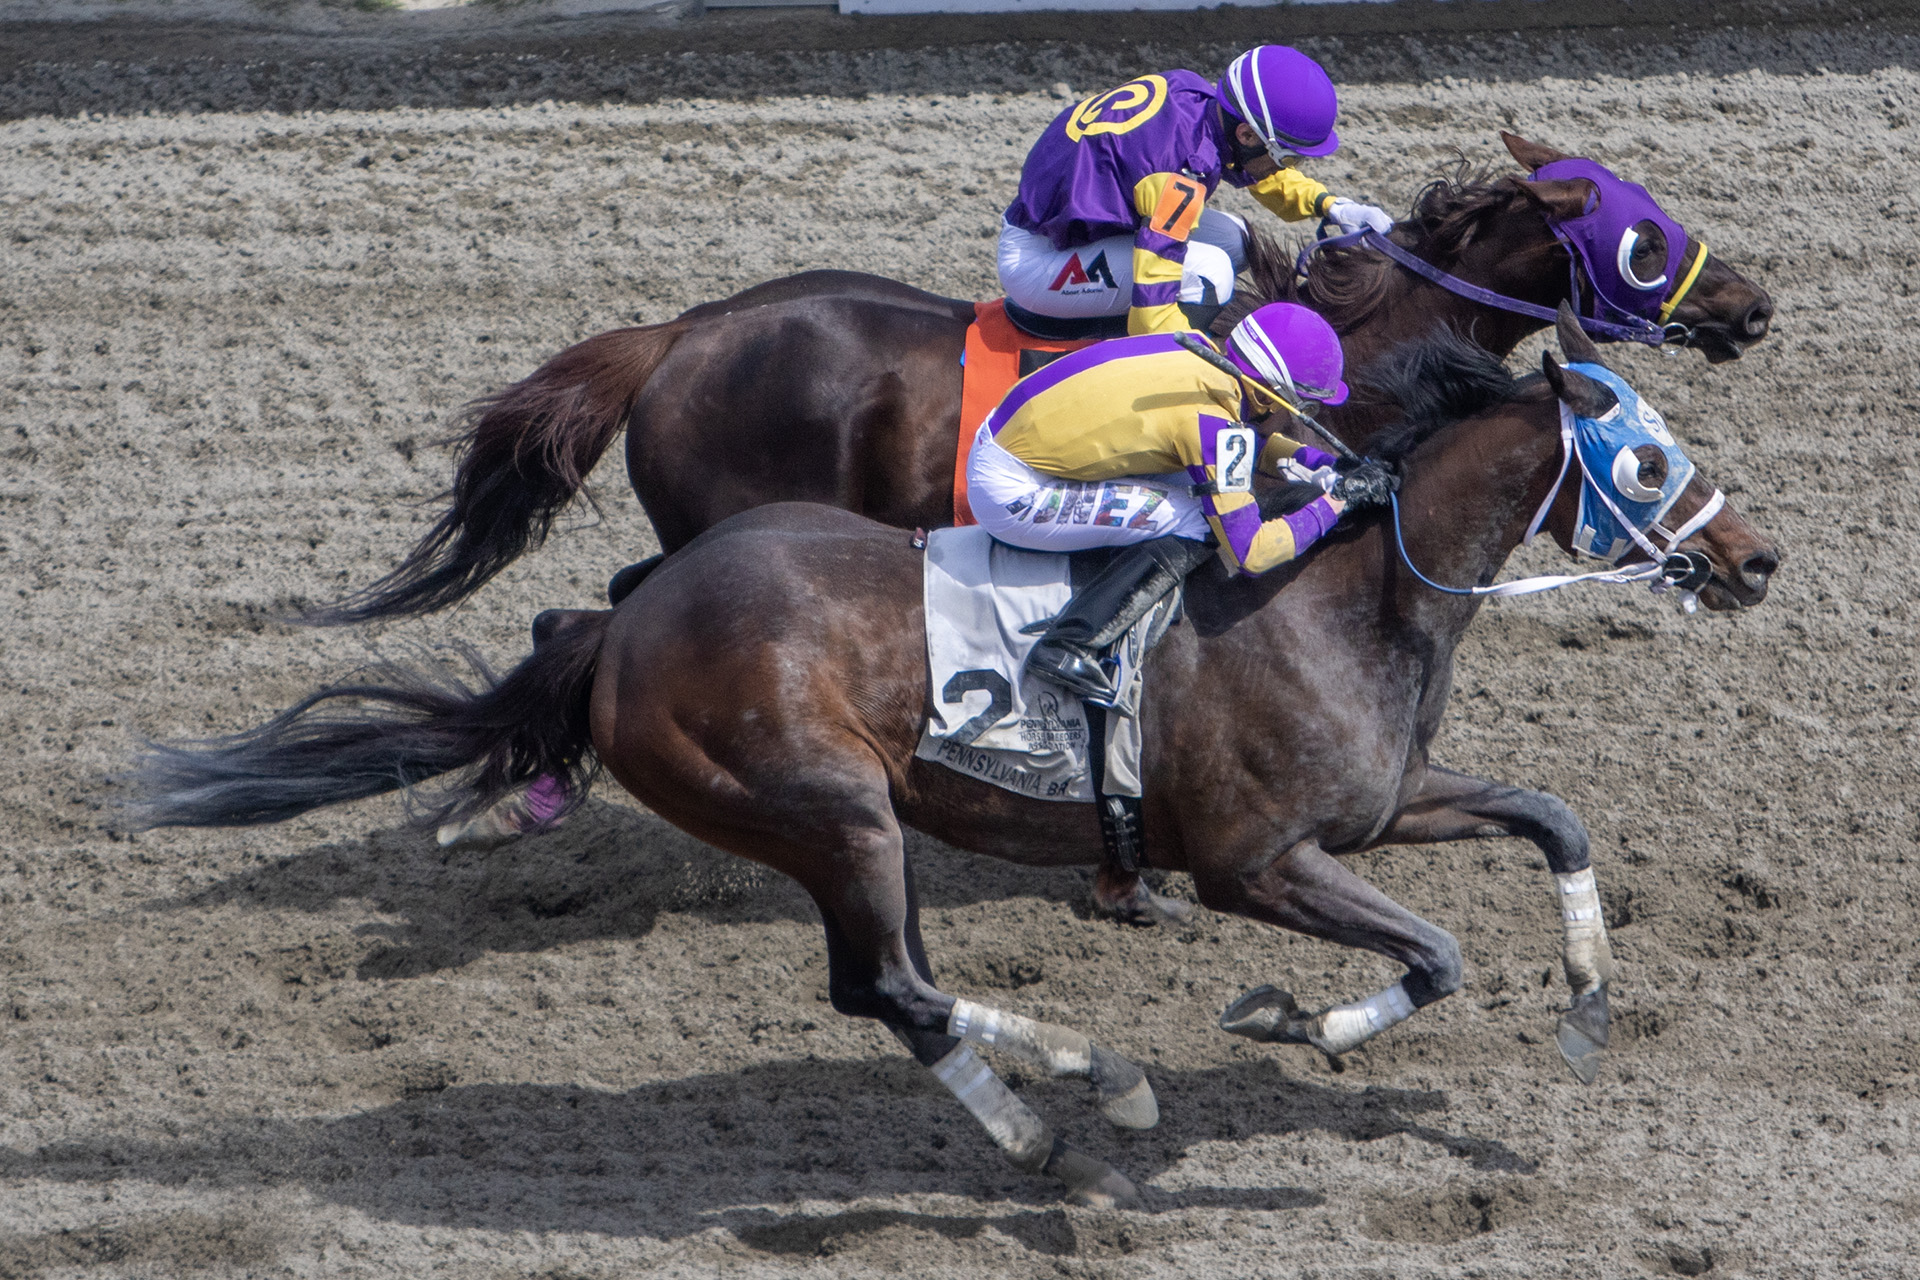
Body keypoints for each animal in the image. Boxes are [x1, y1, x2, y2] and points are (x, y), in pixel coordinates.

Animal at [139, 312, 1781, 1212]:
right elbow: (1433, 955)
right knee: (894, 985)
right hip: (828, 808)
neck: (1348, 595)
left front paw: (1587, 1013)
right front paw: (1290, 1022)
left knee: (890, 989)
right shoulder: (1258, 863)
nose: (1756, 559)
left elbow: (1555, 820)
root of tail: (621, 638)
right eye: (1647, 461)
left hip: (830, 818)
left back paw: (1067, 1110)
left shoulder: (1377, 814)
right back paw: (1093, 1103)